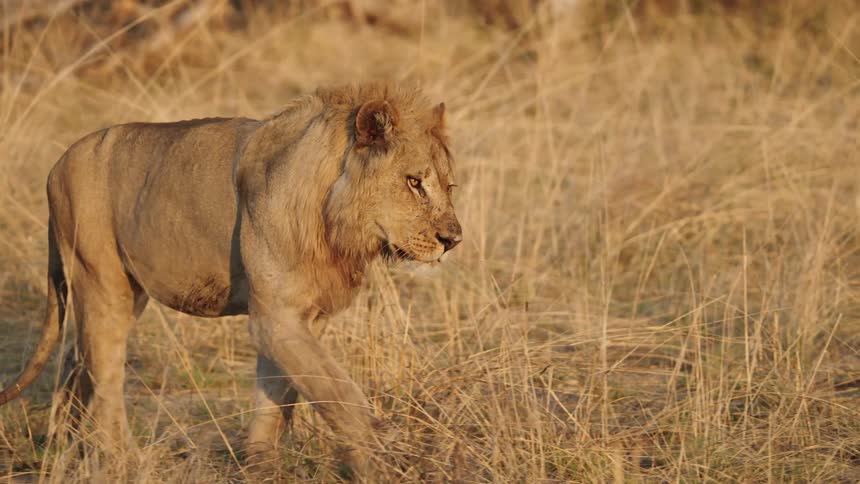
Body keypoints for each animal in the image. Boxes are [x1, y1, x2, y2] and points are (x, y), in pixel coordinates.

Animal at [0, 83, 461, 476]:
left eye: (449, 186)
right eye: (414, 182)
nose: (453, 240)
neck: (332, 221)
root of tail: (58, 163)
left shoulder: (304, 317)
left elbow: (278, 395)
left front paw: (261, 465)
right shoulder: (275, 316)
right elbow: (338, 391)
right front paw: (381, 458)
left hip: (124, 293)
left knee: (75, 362)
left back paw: (63, 445)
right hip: (101, 283)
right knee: (105, 377)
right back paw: (121, 460)